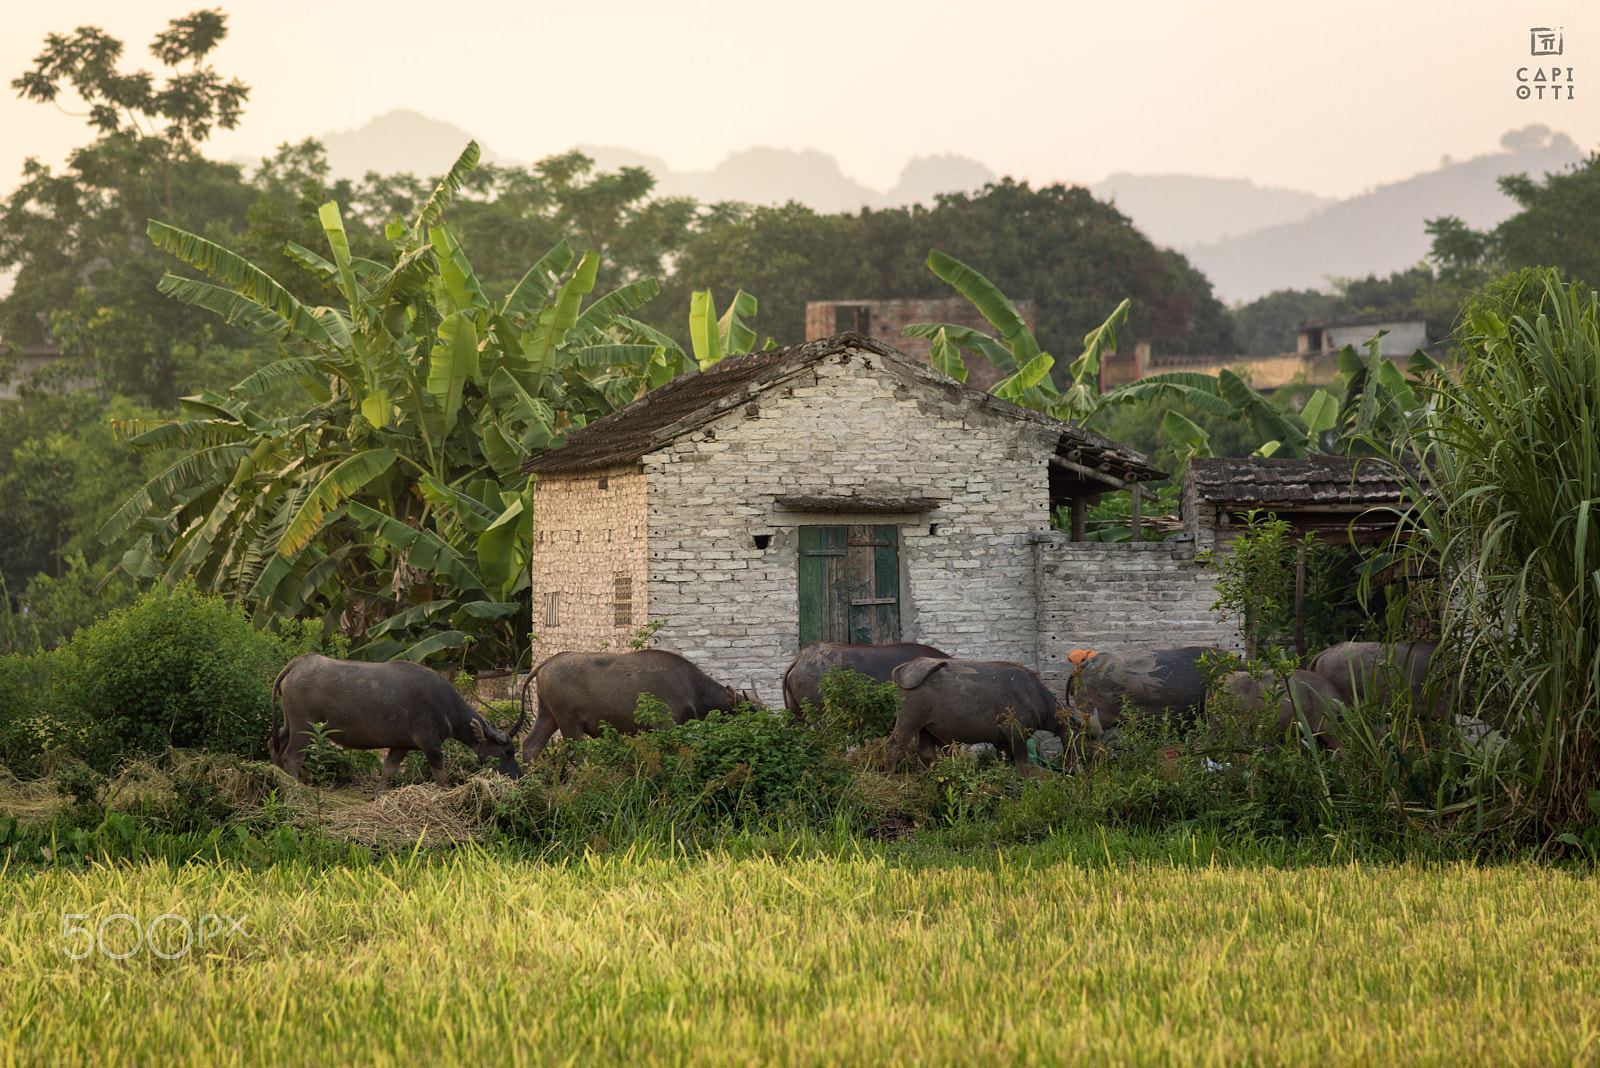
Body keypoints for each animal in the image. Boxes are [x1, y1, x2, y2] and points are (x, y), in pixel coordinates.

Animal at [268, 655, 524, 796]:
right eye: (508, 751)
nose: (519, 777)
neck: (446, 706)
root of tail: (297, 664)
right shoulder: (430, 744)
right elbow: (441, 777)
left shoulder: (401, 746)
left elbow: (388, 772)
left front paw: (376, 797)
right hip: (305, 725)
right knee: (292, 756)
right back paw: (296, 788)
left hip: (290, 722)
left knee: (275, 743)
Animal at [518, 645, 755, 764]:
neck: (691, 685)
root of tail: (547, 663)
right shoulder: (666, 727)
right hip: (569, 722)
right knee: (575, 754)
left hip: (548, 715)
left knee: (531, 745)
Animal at [883, 655, 1094, 770]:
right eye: (1084, 738)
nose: (1078, 768)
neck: (1034, 695)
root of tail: (907, 667)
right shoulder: (1016, 734)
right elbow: (1023, 764)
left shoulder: (1002, 742)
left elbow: (1004, 762)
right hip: (909, 719)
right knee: (894, 745)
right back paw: (888, 776)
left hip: (926, 726)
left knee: (926, 752)